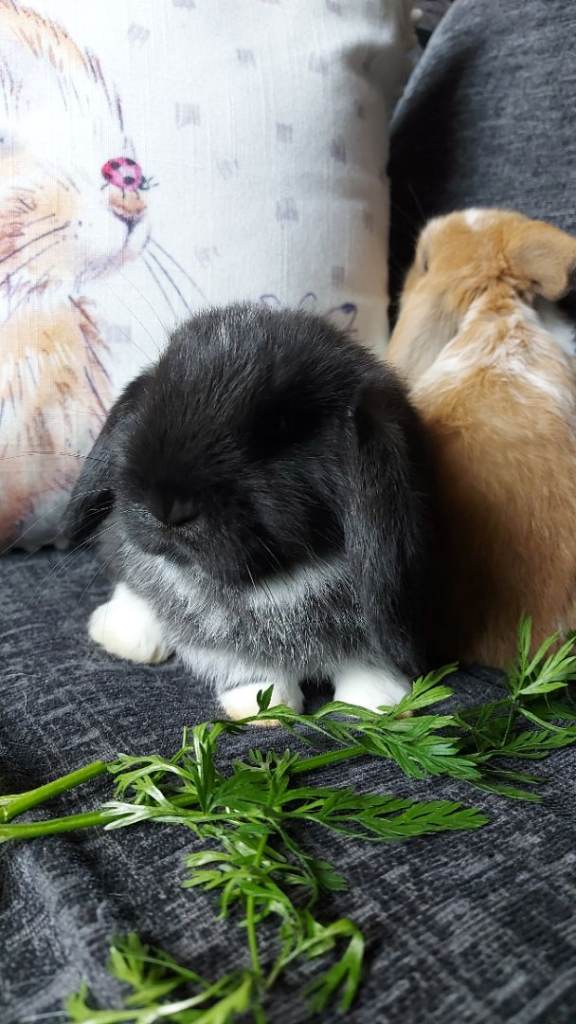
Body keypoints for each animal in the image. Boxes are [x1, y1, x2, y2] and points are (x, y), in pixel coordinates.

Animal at [64, 303, 436, 719]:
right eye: (157, 391)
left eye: (284, 424)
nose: (165, 505)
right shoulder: (229, 646)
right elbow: (252, 670)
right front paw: (264, 707)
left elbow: (370, 661)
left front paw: (380, 703)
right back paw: (120, 636)